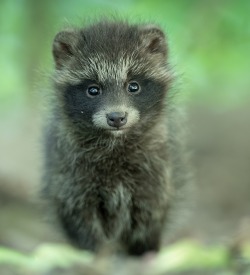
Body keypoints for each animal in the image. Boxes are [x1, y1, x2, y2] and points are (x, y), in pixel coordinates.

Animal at [42, 19, 188, 256]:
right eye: (93, 90)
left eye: (133, 86)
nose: (117, 117)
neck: (115, 143)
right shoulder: (72, 177)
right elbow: (81, 217)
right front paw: (93, 252)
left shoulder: (153, 174)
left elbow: (149, 214)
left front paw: (142, 251)